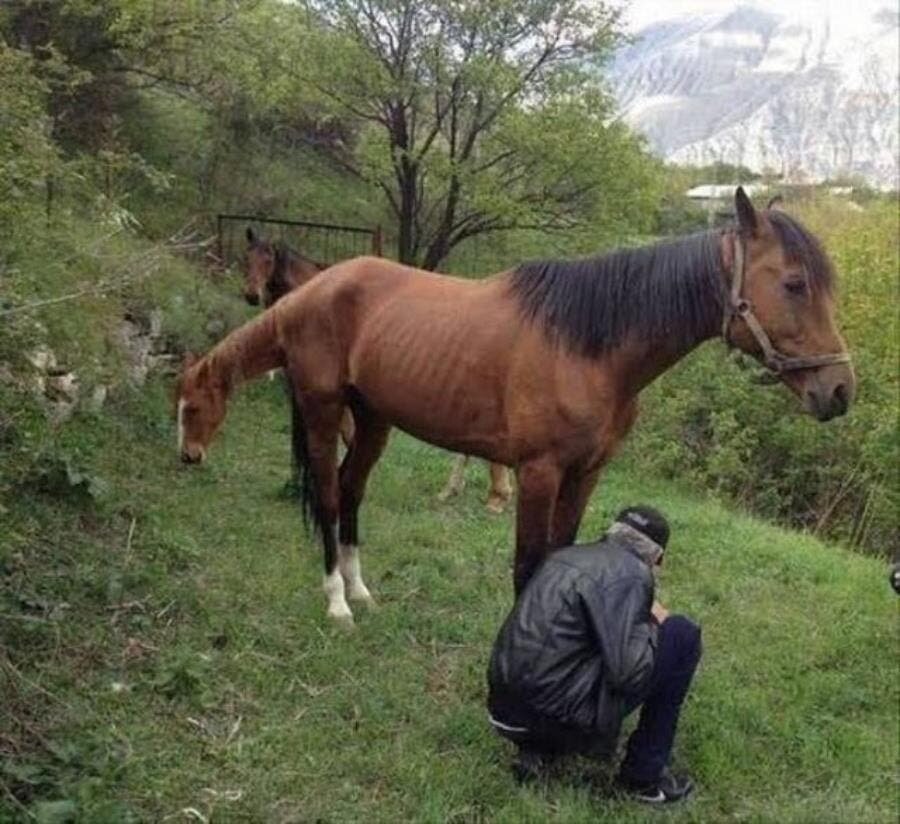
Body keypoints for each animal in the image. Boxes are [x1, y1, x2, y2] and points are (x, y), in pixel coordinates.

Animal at [174, 188, 852, 624]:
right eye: (794, 283)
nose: (840, 391)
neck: (589, 345)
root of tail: (313, 291)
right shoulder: (539, 472)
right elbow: (527, 566)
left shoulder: (584, 475)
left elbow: (556, 556)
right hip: (322, 412)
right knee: (329, 494)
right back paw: (337, 600)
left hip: (372, 421)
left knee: (351, 491)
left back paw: (360, 590)